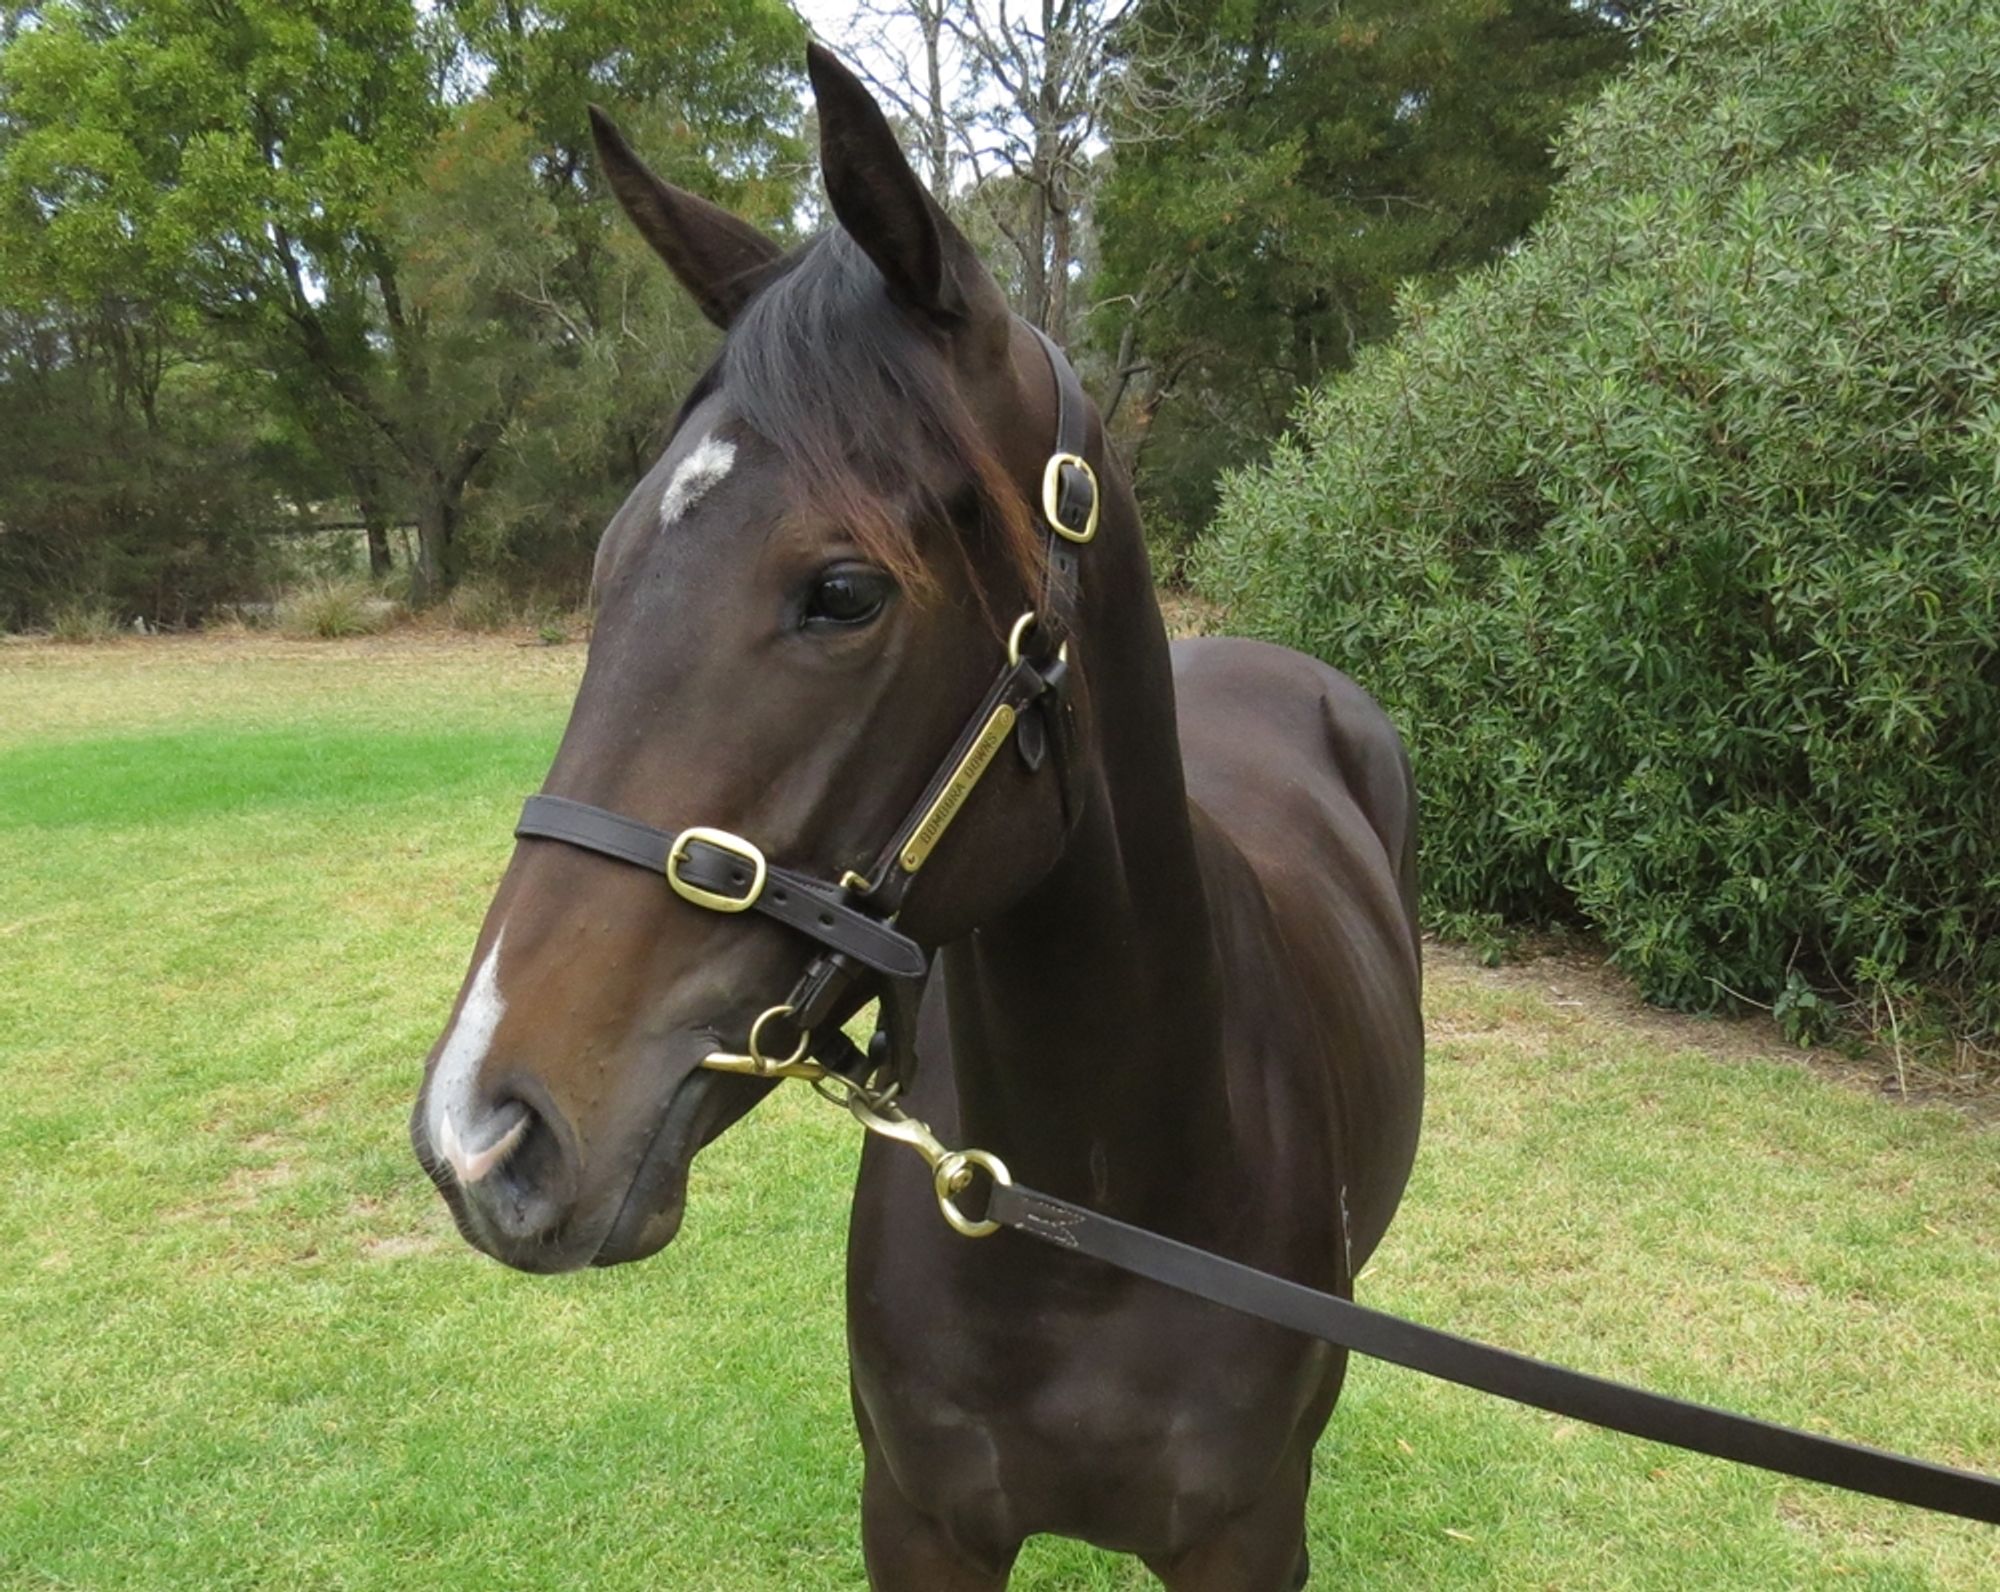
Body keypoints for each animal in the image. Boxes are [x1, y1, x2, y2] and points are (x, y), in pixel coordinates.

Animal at [410, 45, 1424, 1590]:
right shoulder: (920, 1519)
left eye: (843, 590)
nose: (482, 1136)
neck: (1096, 1215)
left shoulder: (1246, 1543)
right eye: (608, 560)